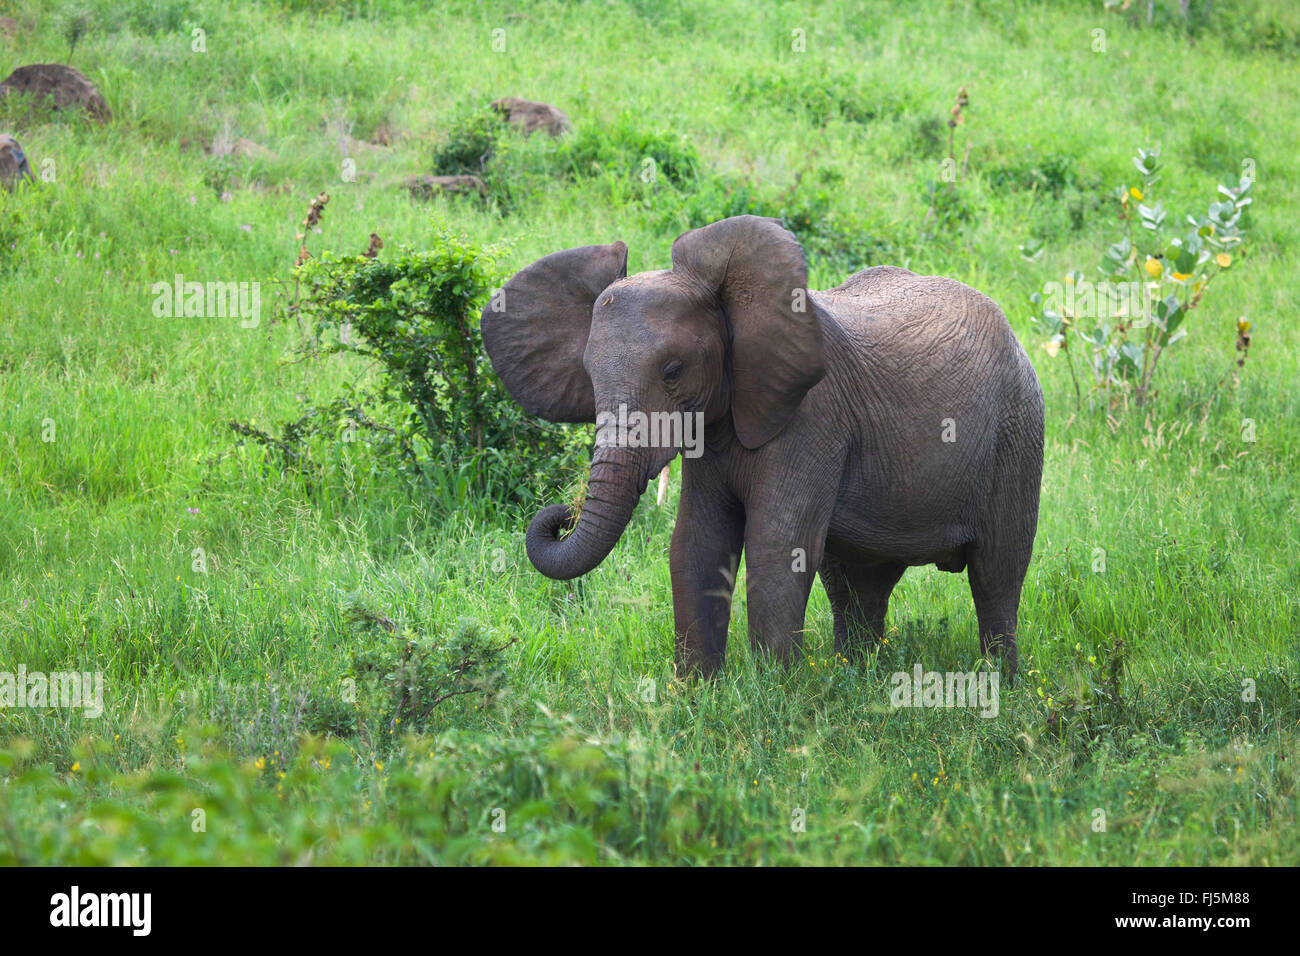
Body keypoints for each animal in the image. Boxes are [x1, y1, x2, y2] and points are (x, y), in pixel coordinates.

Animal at [483, 215, 1040, 681]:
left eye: (673, 372)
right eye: (589, 376)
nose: (561, 514)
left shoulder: (812, 419)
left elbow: (779, 544)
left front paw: (775, 692)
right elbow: (696, 542)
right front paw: (698, 691)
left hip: (1017, 431)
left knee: (998, 570)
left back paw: (1001, 682)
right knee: (858, 580)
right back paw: (856, 675)